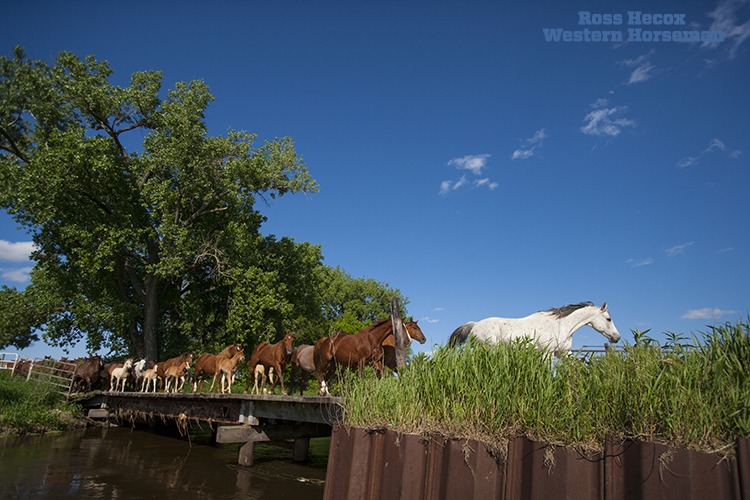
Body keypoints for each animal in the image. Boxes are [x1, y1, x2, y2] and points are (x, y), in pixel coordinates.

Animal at [448, 302, 621, 356]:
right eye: (609, 319)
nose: (617, 338)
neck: (561, 325)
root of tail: (475, 324)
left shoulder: (564, 353)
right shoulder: (547, 353)